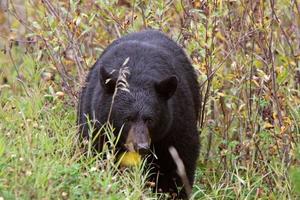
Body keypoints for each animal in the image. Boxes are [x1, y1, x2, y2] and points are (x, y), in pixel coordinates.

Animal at [76, 29, 200, 197]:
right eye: (127, 118)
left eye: (150, 119)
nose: (141, 146)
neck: (137, 74)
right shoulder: (96, 124)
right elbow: (96, 153)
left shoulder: (176, 123)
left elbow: (179, 161)